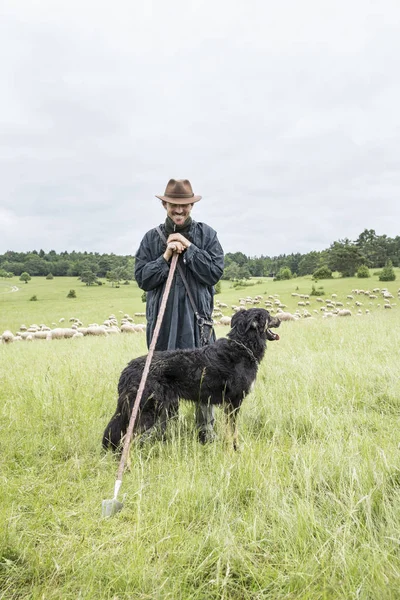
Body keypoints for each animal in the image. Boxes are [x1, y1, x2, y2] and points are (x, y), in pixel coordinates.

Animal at [101, 310, 280, 450]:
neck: (243, 345)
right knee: (125, 440)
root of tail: (128, 370)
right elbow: (232, 431)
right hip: (148, 411)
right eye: (269, 315)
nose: (279, 320)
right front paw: (234, 449)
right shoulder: (234, 402)